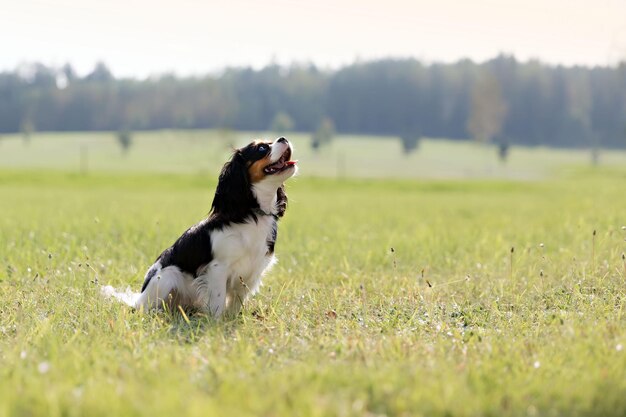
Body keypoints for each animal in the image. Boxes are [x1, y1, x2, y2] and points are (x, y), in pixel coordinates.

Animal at [103, 136, 298, 316]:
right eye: (262, 148)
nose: (284, 138)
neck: (253, 213)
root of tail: (137, 299)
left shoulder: (251, 272)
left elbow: (235, 303)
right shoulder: (218, 269)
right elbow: (218, 301)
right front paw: (216, 324)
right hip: (166, 277)